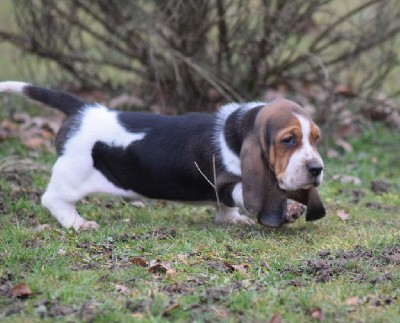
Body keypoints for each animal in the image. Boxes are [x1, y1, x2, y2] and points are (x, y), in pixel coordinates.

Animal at [0, 82, 324, 232]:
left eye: (316, 138)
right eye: (288, 140)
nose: (317, 169)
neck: (237, 129)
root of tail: (83, 110)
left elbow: (227, 208)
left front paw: (232, 220)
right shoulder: (225, 182)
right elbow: (241, 193)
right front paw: (290, 208)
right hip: (73, 174)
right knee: (54, 199)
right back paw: (78, 223)